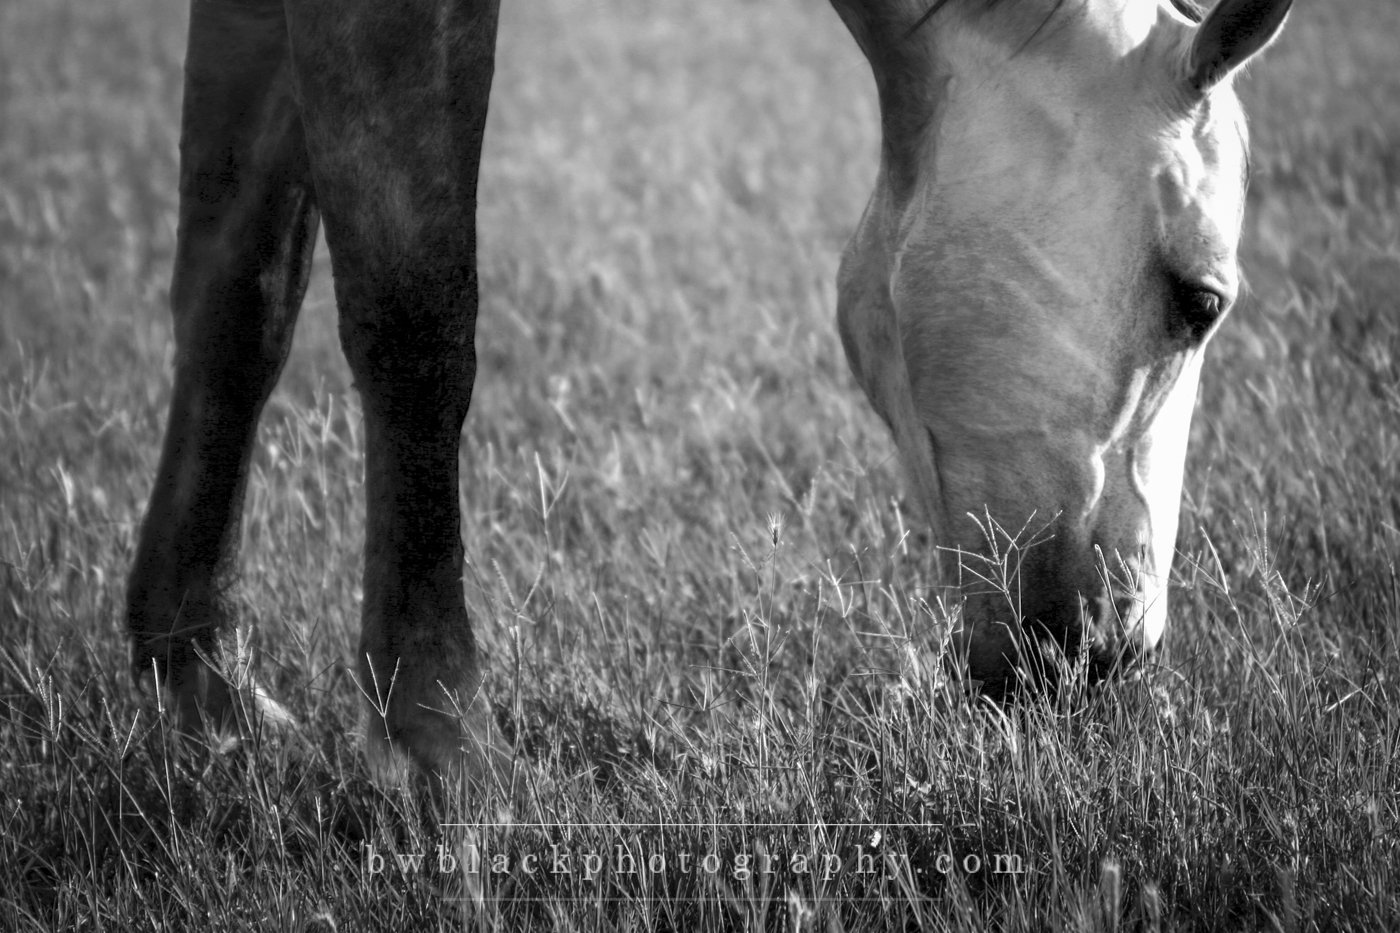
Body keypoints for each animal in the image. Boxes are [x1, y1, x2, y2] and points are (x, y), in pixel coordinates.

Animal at [125, 0, 1291, 779]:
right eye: (1199, 302)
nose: (1119, 650)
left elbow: (239, 297)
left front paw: (202, 687)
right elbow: (416, 321)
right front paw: (439, 747)